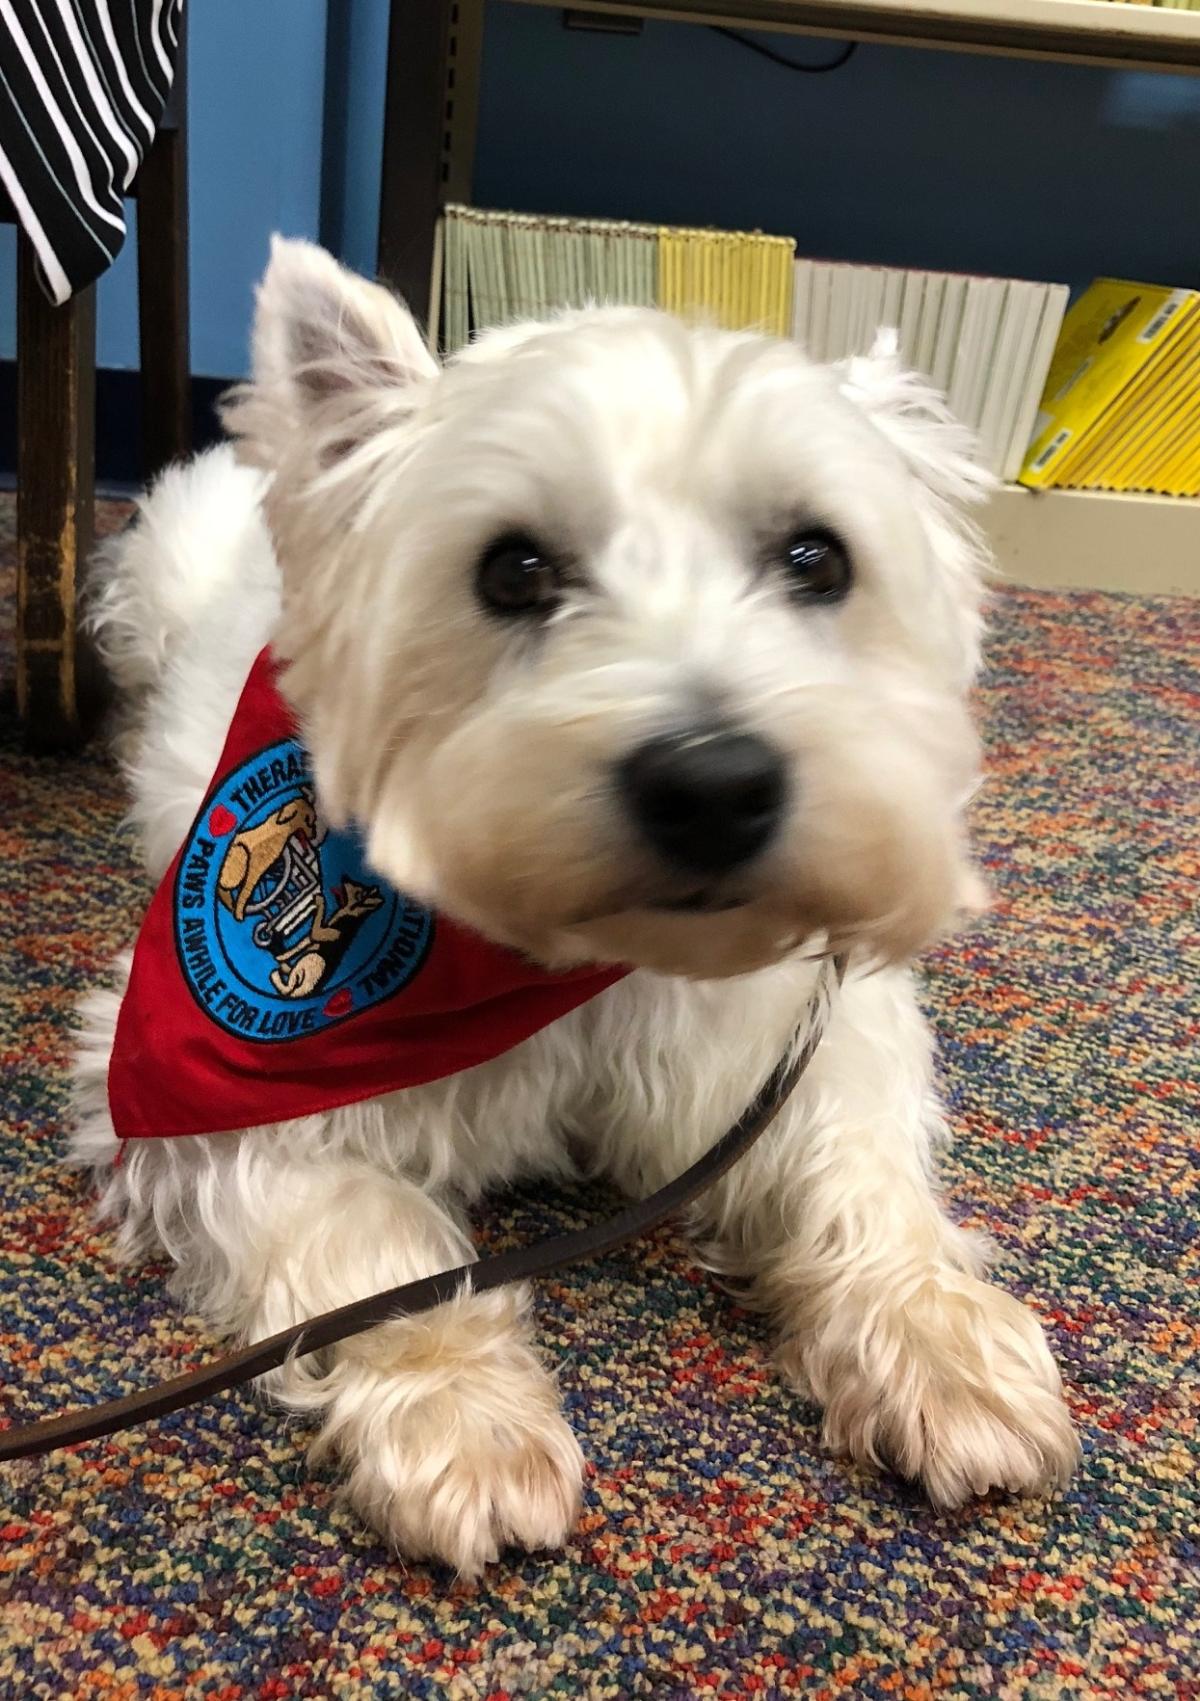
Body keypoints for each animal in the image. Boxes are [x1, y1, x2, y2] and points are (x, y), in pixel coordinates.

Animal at [68, 236, 1075, 1564]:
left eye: (817, 559)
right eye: (513, 570)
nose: (713, 784)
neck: (593, 957)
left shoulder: (807, 1029)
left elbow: (859, 1171)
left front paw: (941, 1345)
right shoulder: (197, 1088)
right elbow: (371, 1238)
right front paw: (466, 1426)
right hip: (150, 588)